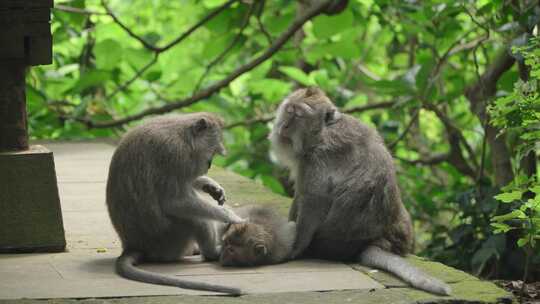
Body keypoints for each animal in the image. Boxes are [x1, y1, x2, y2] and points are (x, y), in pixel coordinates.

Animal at [106, 112, 245, 294]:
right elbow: (173, 202)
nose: (208, 165)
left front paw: (210, 185)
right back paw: (211, 253)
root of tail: (133, 246)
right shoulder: (176, 154)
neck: (184, 136)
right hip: (169, 239)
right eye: (213, 150)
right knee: (196, 219)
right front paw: (229, 215)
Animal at [268, 86, 452, 296]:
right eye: (289, 110)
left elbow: (313, 202)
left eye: (298, 115)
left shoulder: (316, 160)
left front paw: (293, 249)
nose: (284, 126)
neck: (323, 131)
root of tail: (373, 241)